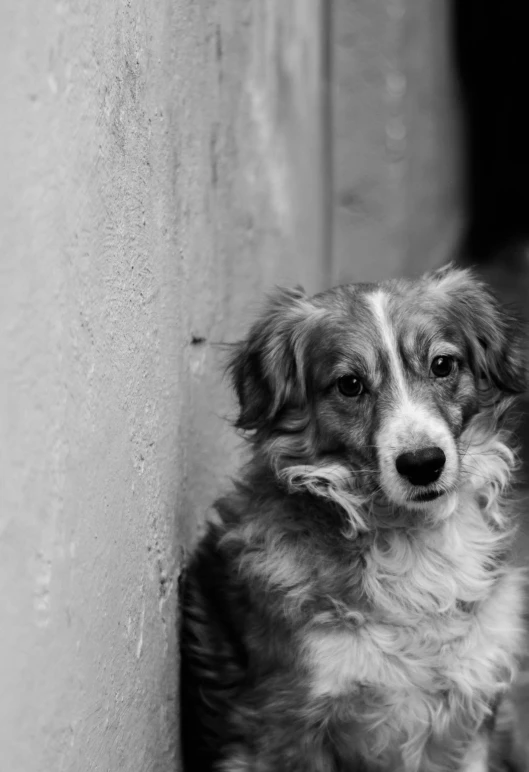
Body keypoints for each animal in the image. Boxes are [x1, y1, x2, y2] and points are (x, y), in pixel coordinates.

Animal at [180, 266, 524, 772]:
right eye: (350, 384)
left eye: (443, 365)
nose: (423, 463)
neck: (409, 541)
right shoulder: (288, 722)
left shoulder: (470, 711)